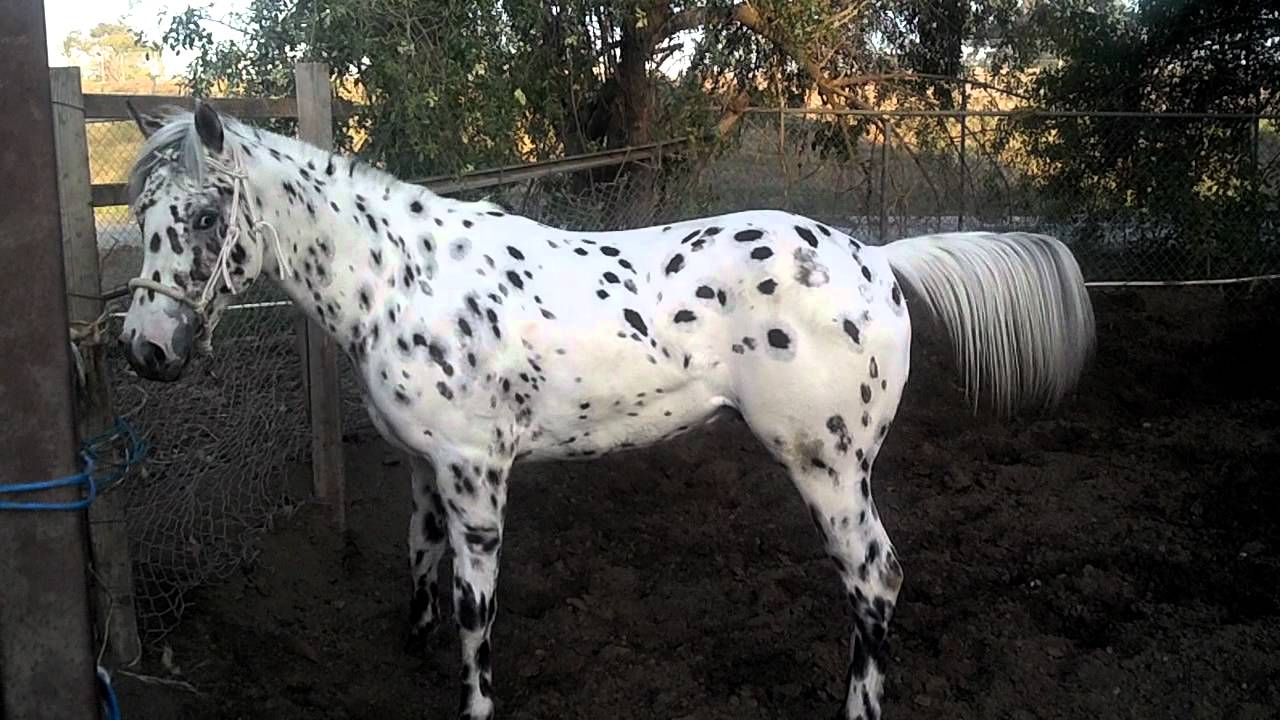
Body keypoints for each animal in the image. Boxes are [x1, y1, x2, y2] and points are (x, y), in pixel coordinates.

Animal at [117, 101, 1095, 720]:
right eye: (141, 211)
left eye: (203, 216)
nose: (145, 350)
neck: (406, 282)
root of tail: (878, 259)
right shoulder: (426, 466)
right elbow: (419, 560)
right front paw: (412, 644)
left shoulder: (476, 473)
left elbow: (476, 604)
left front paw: (475, 700)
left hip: (830, 468)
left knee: (876, 580)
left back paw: (857, 707)